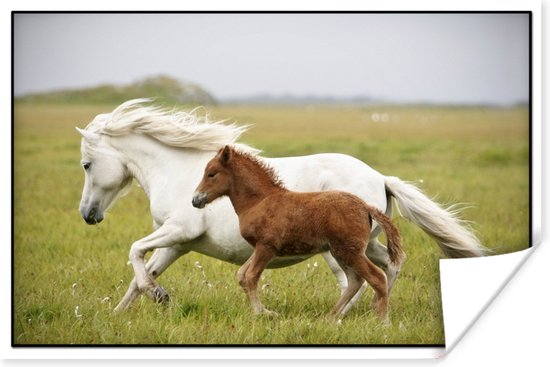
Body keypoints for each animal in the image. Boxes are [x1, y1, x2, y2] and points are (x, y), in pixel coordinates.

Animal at [193, 147, 406, 322]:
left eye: (211, 174)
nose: (196, 200)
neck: (259, 201)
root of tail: (365, 207)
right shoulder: (259, 248)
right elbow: (241, 275)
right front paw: (265, 311)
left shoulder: (267, 247)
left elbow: (251, 276)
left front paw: (262, 313)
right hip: (341, 252)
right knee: (356, 280)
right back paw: (330, 317)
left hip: (350, 252)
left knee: (376, 278)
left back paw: (383, 321)